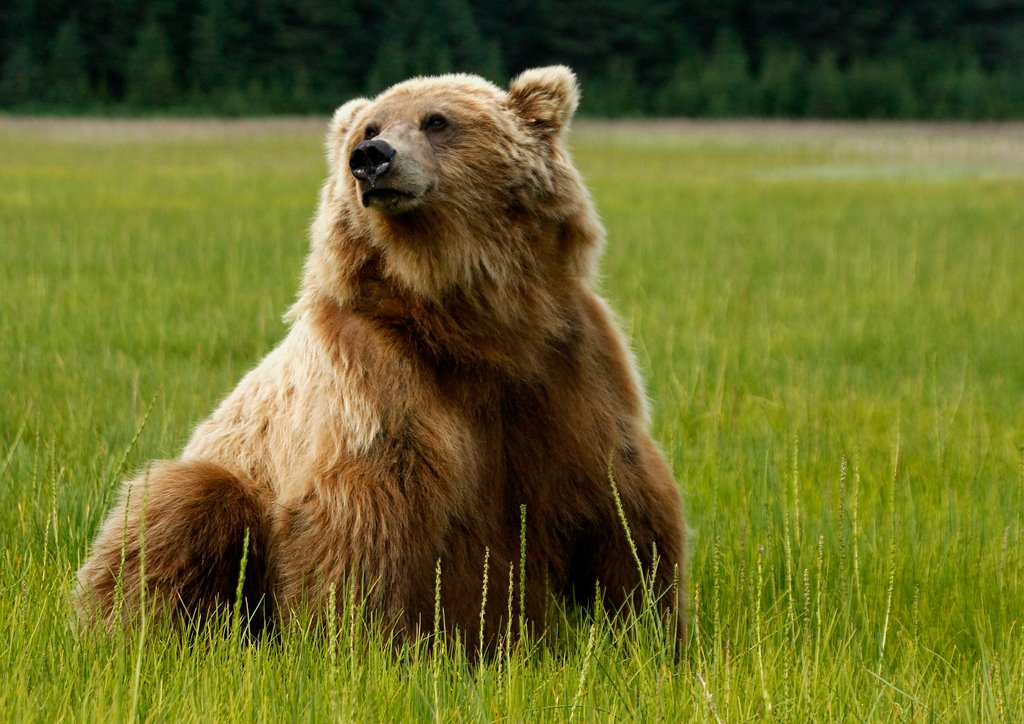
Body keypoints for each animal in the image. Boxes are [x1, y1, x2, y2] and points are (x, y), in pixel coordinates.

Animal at [74, 66, 687, 653]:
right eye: (369, 127)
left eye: (437, 120)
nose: (371, 158)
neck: (469, 322)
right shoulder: (376, 375)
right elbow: (363, 519)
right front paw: (359, 643)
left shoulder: (567, 371)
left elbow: (626, 511)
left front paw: (657, 634)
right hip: (224, 480)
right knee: (178, 512)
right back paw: (131, 631)